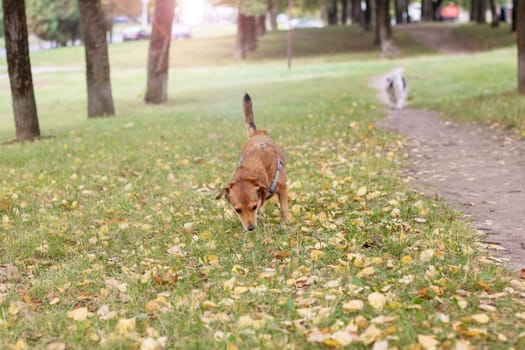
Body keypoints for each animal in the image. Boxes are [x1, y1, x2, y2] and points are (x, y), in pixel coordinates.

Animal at [217, 93, 290, 231]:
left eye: (253, 207)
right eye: (237, 210)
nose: (250, 228)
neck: (253, 167)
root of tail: (256, 133)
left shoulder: (282, 187)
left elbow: (283, 207)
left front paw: (285, 223)